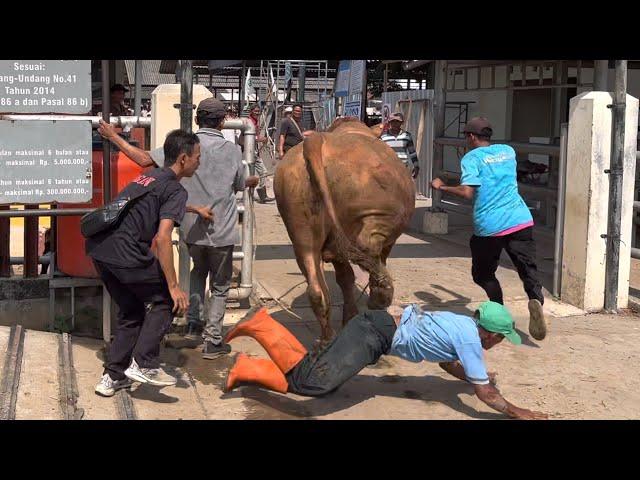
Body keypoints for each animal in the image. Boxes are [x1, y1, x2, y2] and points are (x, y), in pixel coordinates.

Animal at [274, 117, 416, 342]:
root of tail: (316, 139)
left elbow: (345, 277)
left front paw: (349, 317)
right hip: (376, 213)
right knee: (368, 248)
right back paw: (381, 295)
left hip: (299, 223)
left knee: (315, 282)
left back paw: (327, 339)